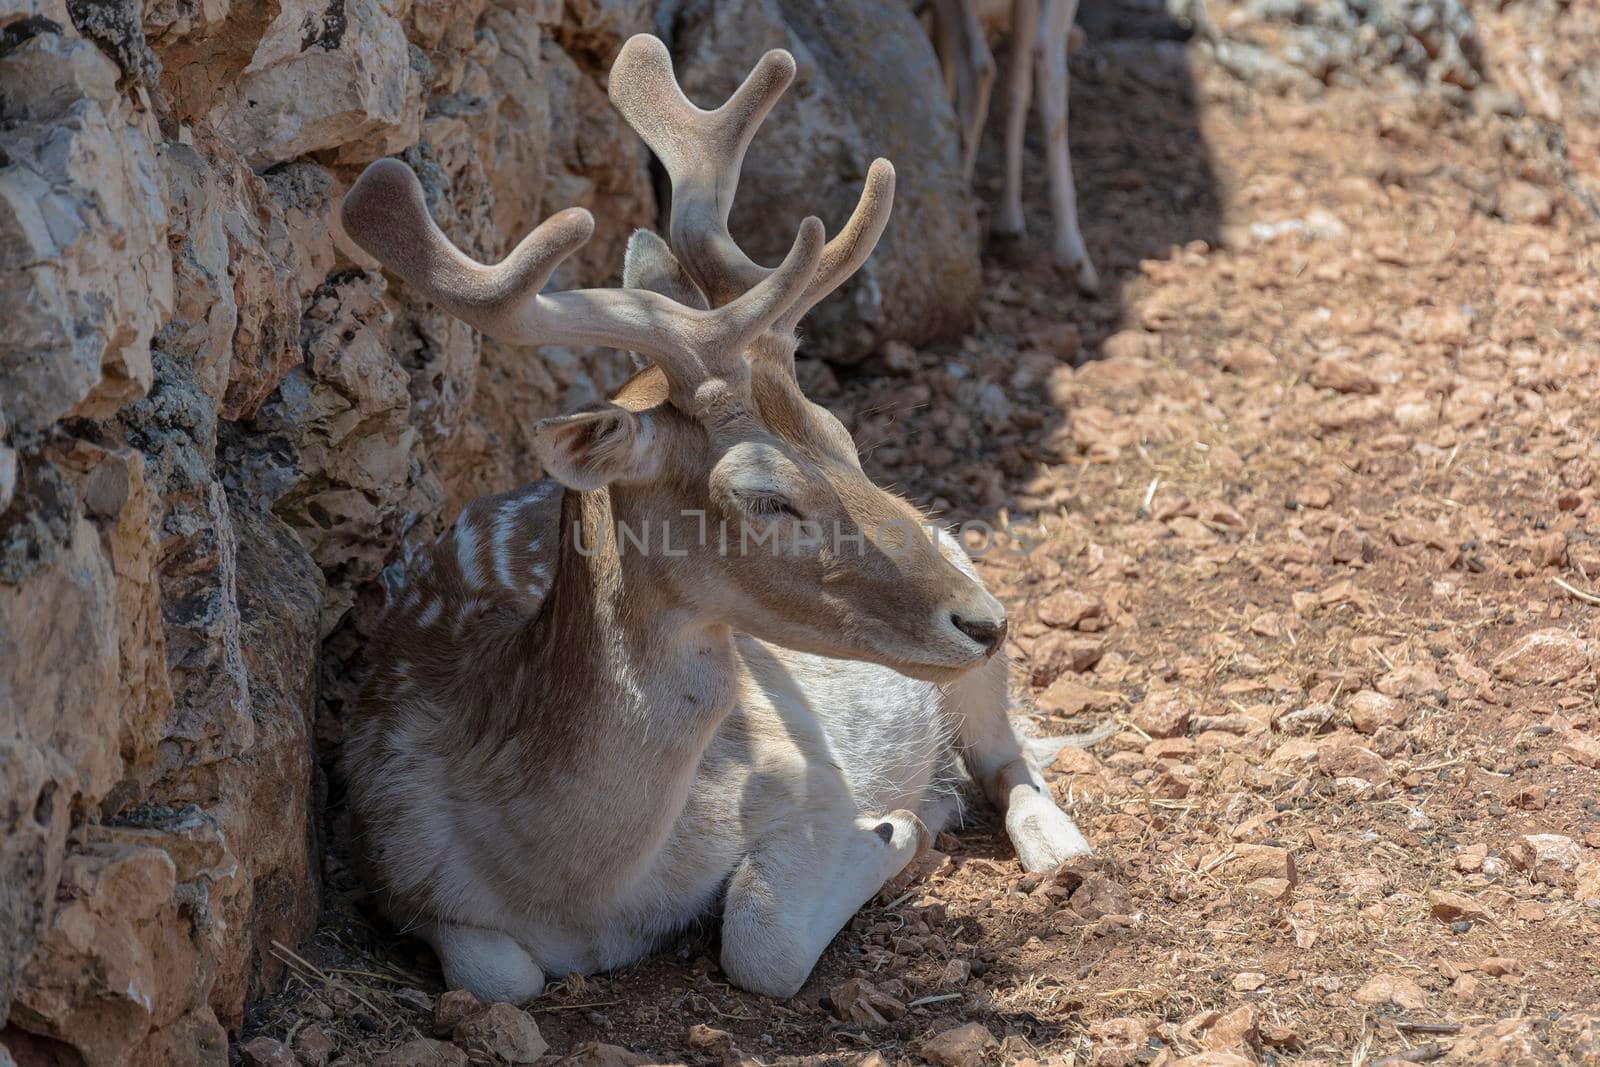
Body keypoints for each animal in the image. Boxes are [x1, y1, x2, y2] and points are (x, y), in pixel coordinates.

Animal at [342, 31, 1094, 1004]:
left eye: (843, 435)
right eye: (765, 495)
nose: (984, 619)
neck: (572, 890)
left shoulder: (807, 780)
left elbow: (759, 935)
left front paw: (897, 828)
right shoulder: (395, 860)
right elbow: (496, 971)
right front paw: (904, 822)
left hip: (968, 633)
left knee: (1009, 755)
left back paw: (1054, 844)